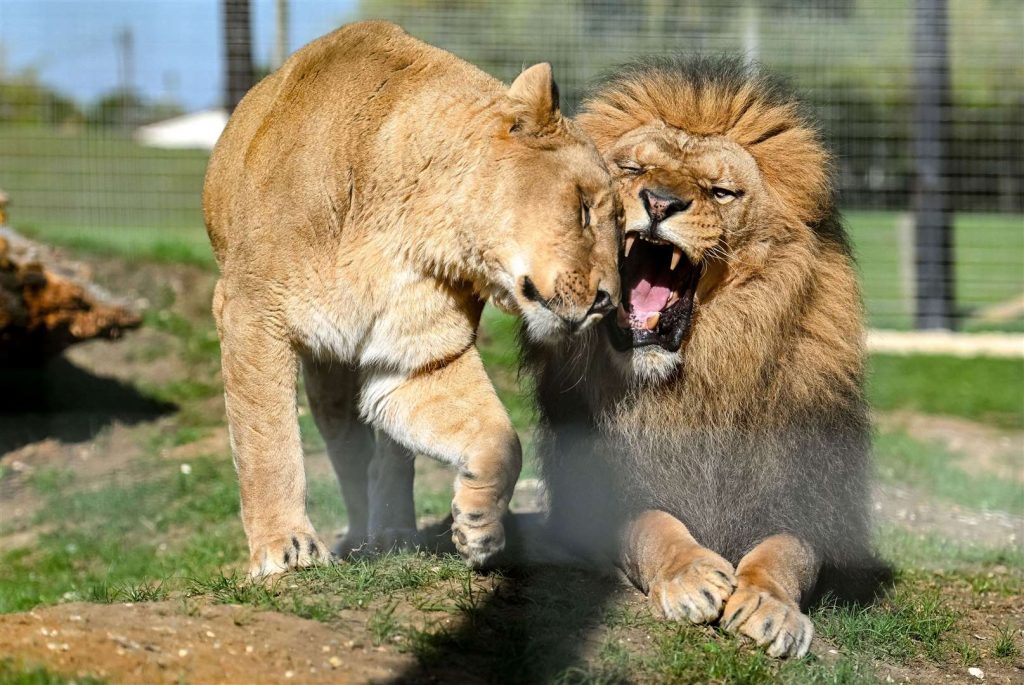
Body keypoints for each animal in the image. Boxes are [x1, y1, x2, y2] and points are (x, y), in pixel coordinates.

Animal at [203, 21, 620, 577]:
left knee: (390, 457)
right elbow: (267, 442)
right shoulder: (250, 313)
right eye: (583, 209)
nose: (608, 301)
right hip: (328, 379)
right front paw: (284, 548)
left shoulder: (418, 358)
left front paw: (478, 528)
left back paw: (393, 535)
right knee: (346, 449)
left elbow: (501, 438)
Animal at [524, 56, 875, 658]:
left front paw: (768, 605)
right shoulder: (597, 485)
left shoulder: (808, 489)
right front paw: (690, 576)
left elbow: (789, 549)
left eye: (722, 191)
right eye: (632, 168)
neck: (700, 382)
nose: (660, 202)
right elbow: (649, 524)